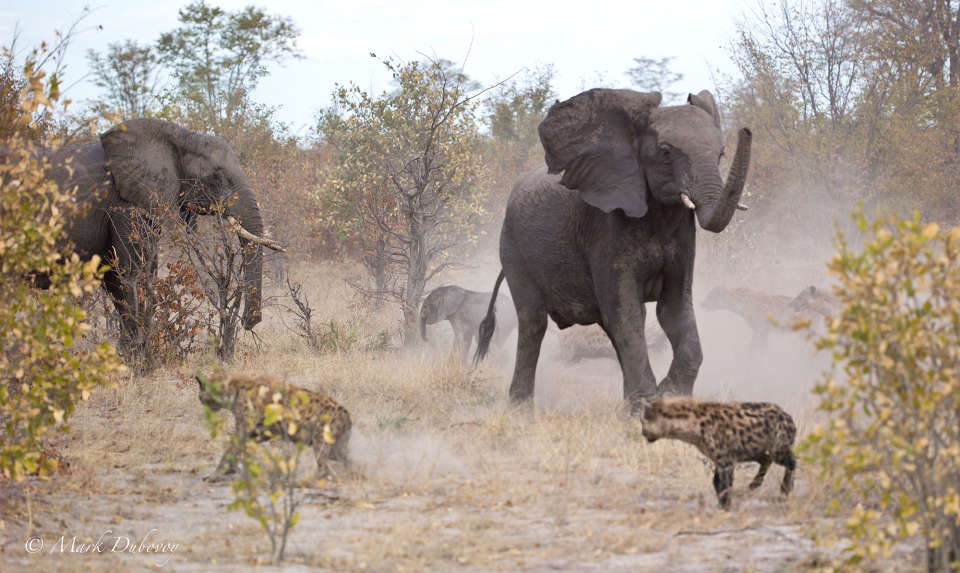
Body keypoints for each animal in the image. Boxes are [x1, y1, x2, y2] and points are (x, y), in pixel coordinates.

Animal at [47, 119, 280, 350]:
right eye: (216, 177)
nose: (248, 322)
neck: (180, 137)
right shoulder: (124, 204)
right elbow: (130, 273)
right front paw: (136, 351)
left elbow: (136, 272)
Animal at [476, 88, 752, 412]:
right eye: (666, 151)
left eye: (721, 154)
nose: (747, 130)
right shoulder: (605, 228)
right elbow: (627, 312)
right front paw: (647, 406)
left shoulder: (684, 237)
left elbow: (673, 310)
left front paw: (667, 396)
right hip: (512, 248)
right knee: (533, 321)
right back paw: (521, 411)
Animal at [640, 396, 800, 508]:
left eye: (642, 422)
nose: (642, 433)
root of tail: (788, 415)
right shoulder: (718, 459)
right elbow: (716, 482)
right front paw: (720, 505)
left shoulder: (725, 460)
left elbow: (724, 485)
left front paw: (725, 507)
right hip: (752, 450)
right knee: (766, 459)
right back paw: (754, 484)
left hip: (778, 447)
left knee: (791, 461)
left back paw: (785, 488)